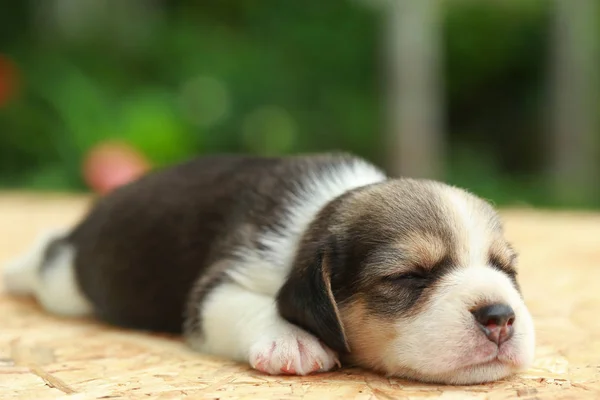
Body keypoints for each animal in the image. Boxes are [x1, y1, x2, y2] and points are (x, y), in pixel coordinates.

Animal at [2, 152, 536, 384]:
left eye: (506, 269)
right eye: (409, 276)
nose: (500, 317)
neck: (318, 215)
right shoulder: (219, 285)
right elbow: (252, 305)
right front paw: (293, 341)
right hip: (63, 283)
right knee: (44, 257)